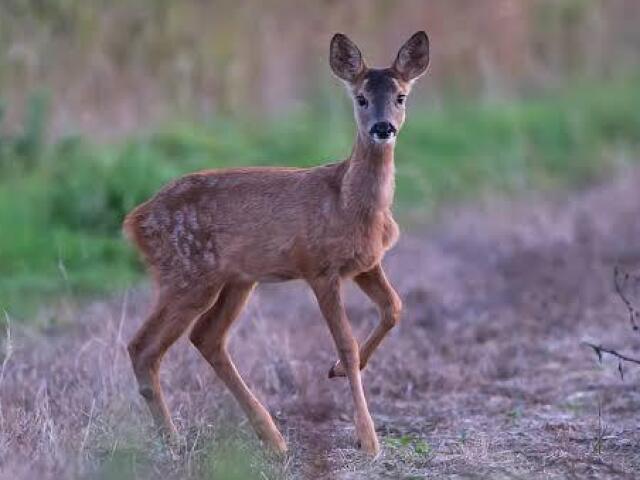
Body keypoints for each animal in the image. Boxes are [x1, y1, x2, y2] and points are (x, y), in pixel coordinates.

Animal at [125, 31, 430, 456]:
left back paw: (271, 437)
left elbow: (394, 308)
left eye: (401, 96)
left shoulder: (366, 263)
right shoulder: (319, 267)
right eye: (361, 98)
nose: (383, 128)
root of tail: (135, 221)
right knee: (144, 347)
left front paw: (337, 372)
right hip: (187, 273)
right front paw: (368, 439)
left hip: (236, 280)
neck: (347, 200)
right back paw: (175, 440)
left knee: (206, 337)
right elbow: (347, 344)